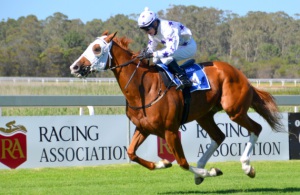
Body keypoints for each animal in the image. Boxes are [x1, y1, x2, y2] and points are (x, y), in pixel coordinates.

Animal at [69, 31, 282, 185]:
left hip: (234, 110)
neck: (145, 88)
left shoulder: (170, 130)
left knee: (256, 128)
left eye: (97, 49)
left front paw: (210, 171)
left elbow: (182, 162)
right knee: (219, 136)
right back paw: (202, 169)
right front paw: (162, 163)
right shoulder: (143, 128)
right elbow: (131, 153)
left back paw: (246, 167)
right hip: (205, 115)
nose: (75, 67)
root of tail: (239, 73)